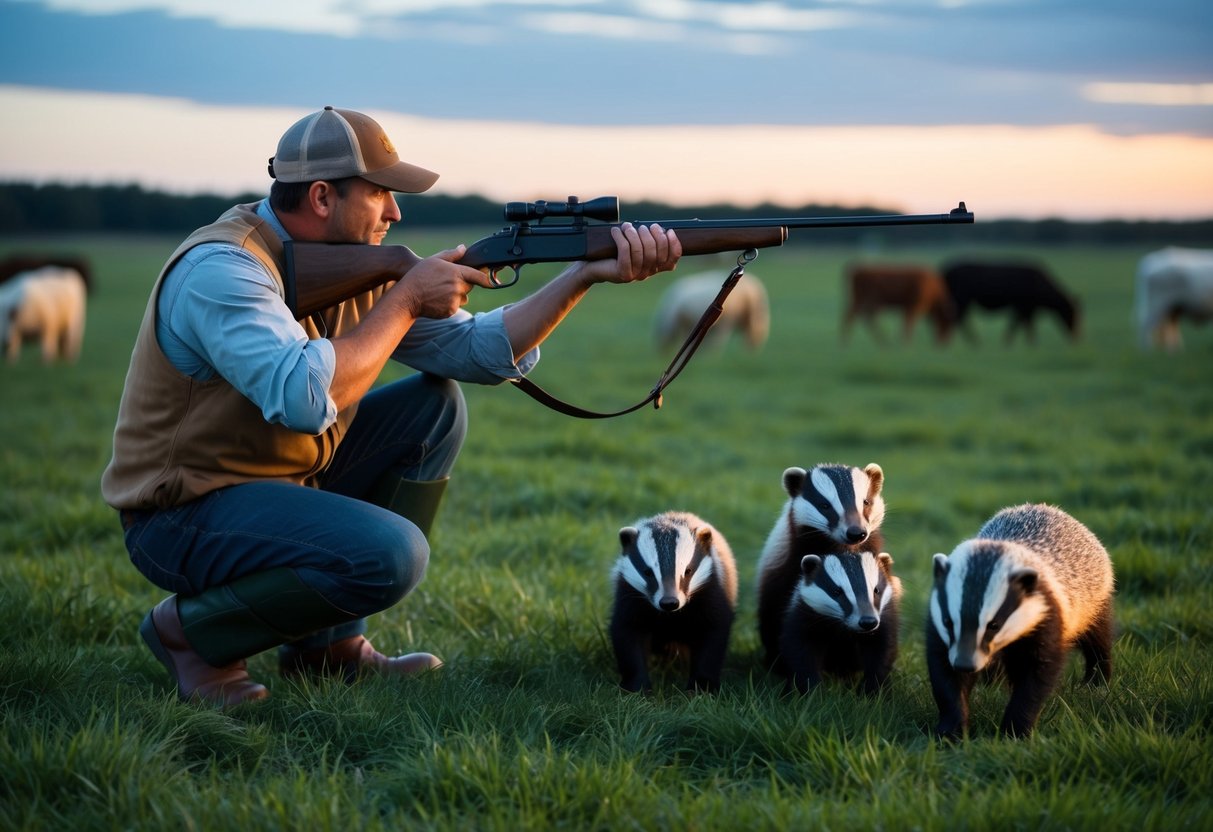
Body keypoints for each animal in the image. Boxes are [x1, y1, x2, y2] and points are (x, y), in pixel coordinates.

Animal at [941, 259, 1080, 345]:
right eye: (1072, 313)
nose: (1076, 336)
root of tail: (946, 271)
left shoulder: (1028, 307)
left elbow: (1025, 324)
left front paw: (1029, 343)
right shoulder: (1022, 306)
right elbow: (1019, 324)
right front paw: (1010, 342)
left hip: (964, 301)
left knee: (958, 319)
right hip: (962, 299)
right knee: (958, 319)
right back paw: (970, 341)